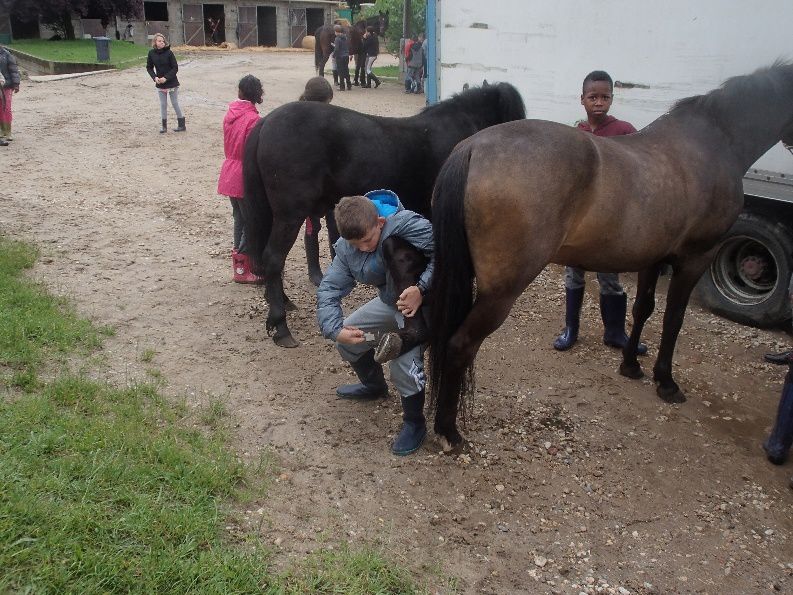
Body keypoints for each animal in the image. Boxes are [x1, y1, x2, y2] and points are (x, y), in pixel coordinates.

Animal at [426, 61, 793, 452]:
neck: (713, 141)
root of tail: (473, 147)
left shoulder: (653, 257)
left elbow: (642, 309)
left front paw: (630, 365)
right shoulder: (695, 258)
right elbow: (673, 320)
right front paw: (666, 382)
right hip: (501, 291)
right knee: (460, 345)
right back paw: (449, 431)